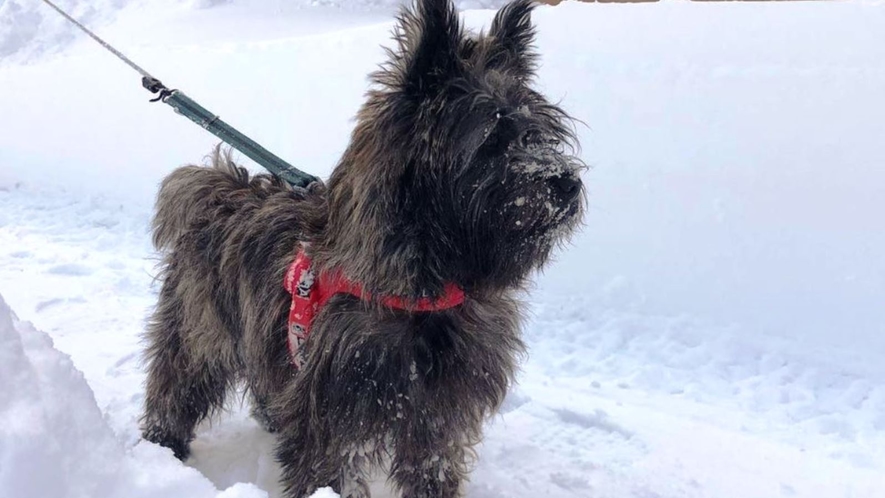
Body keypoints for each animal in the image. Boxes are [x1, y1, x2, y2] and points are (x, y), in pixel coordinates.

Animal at [138, 1, 584, 496]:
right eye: (490, 140)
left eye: (538, 135)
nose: (566, 183)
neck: (423, 289)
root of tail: (218, 188)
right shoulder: (337, 411)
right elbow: (327, 466)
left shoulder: (438, 416)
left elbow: (433, 466)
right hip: (200, 327)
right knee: (176, 383)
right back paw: (163, 445)